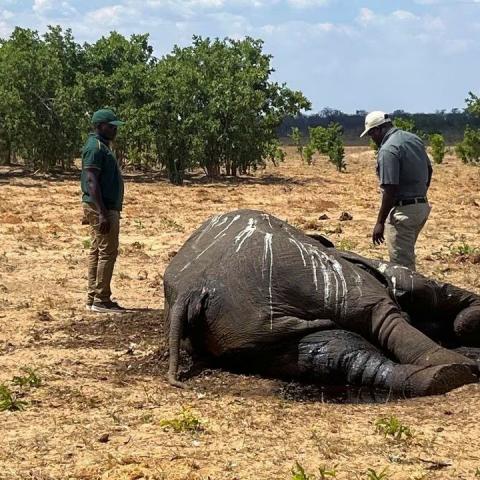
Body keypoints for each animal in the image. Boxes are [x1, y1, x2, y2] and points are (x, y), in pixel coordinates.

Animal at [165, 210, 480, 398]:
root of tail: (194, 288)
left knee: (336, 355)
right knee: (379, 315)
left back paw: (441, 375)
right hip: (306, 275)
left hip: (247, 331)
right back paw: (455, 369)